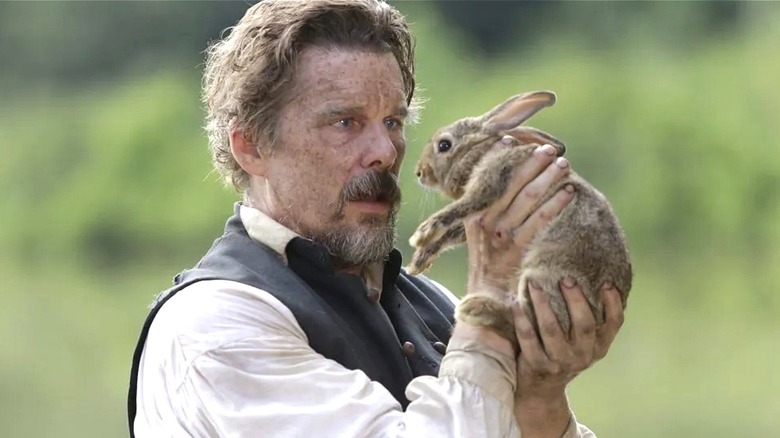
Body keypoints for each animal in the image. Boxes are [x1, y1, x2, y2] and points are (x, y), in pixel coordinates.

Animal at [406, 90, 632, 341]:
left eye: (444, 145)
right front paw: (419, 261)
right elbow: (451, 235)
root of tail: (601, 315)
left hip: (545, 279)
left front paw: (421, 234)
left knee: (527, 326)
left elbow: (459, 208)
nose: (420, 173)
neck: (480, 151)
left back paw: (476, 308)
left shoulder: (493, 177)